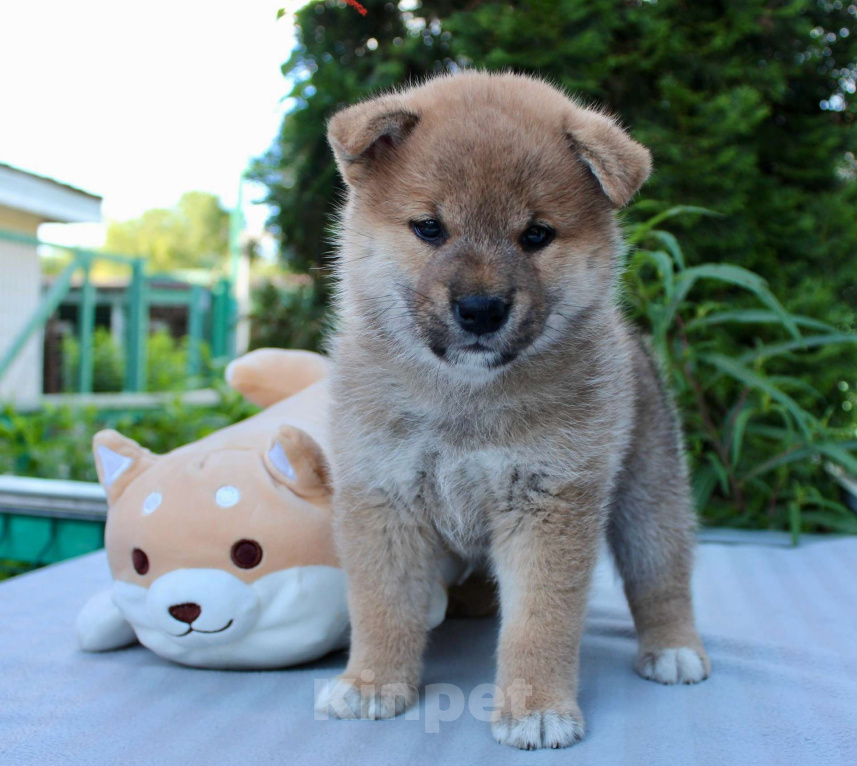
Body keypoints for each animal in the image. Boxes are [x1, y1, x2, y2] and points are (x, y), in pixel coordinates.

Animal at [316, 72, 708, 752]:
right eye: (429, 228)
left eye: (536, 235)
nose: (480, 309)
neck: (464, 401)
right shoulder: (382, 494)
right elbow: (382, 604)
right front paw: (372, 683)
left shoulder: (550, 501)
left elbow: (539, 623)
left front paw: (536, 707)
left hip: (649, 496)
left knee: (661, 575)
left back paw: (674, 648)